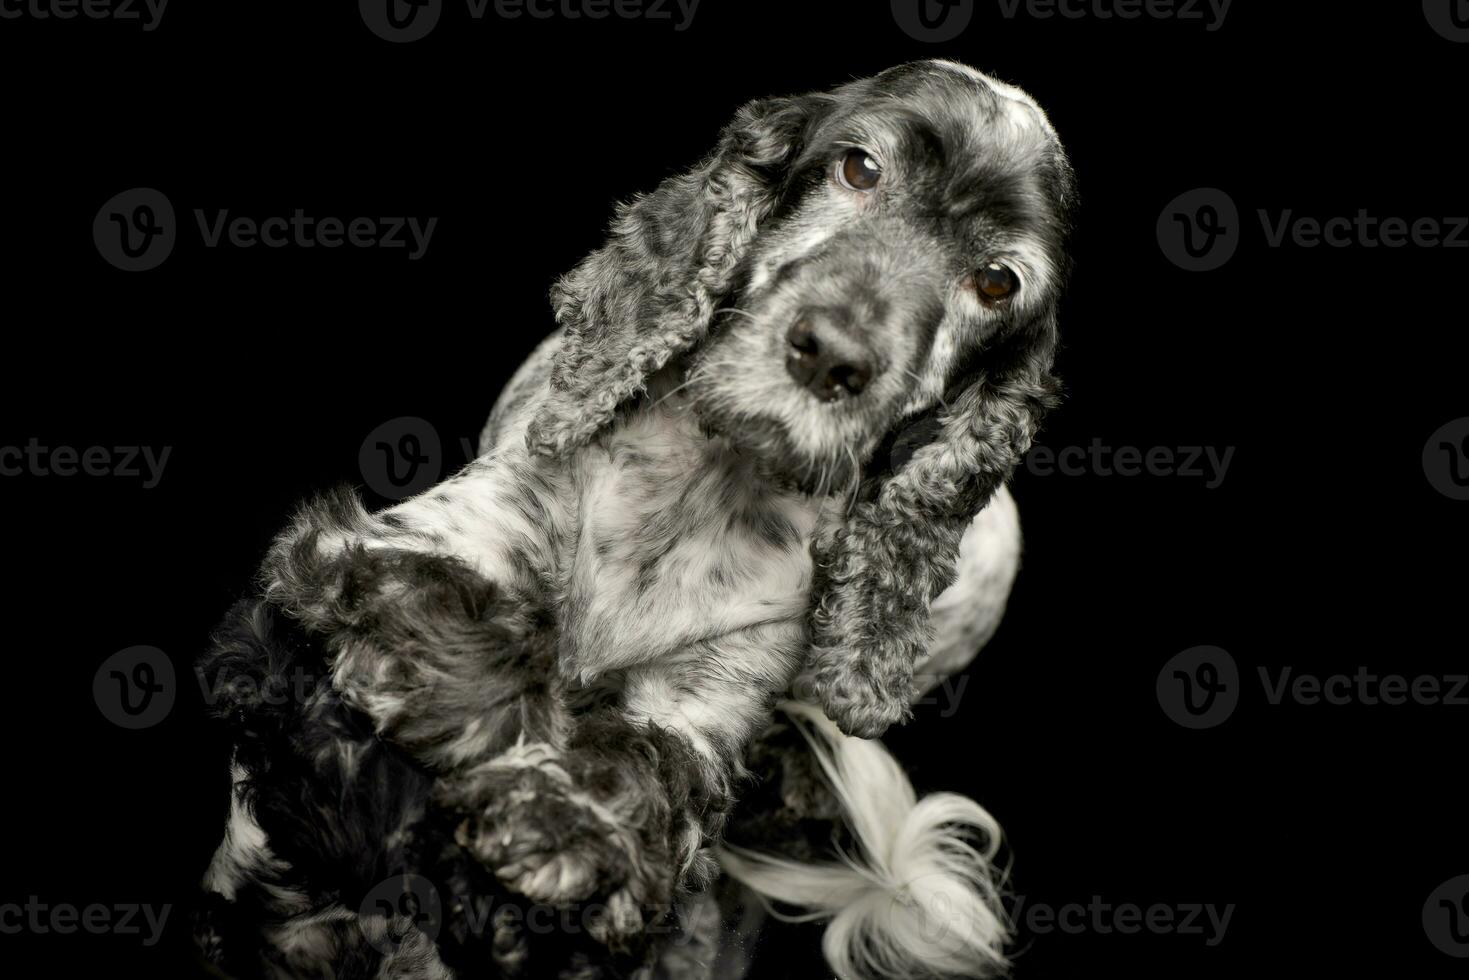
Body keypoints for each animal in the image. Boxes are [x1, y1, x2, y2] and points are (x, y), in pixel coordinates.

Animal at [195, 61, 1075, 980]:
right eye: (859, 168)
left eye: (996, 282)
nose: (833, 356)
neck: (708, 485)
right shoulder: (390, 550)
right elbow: (490, 655)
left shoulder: (700, 710)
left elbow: (643, 769)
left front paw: (561, 828)